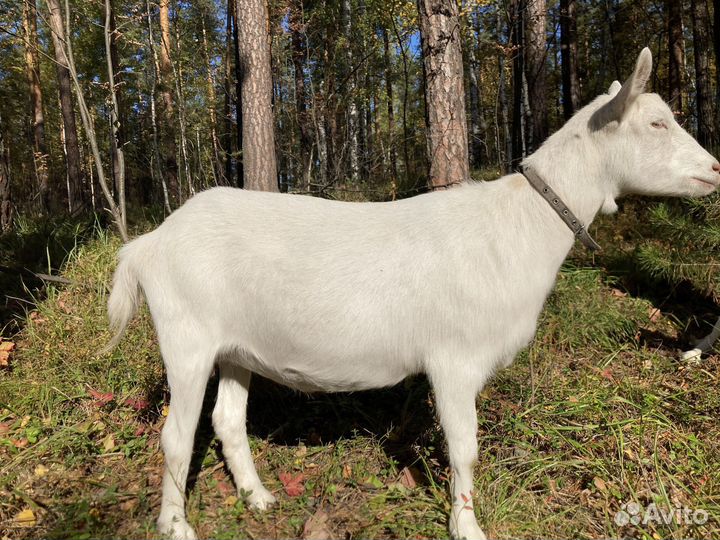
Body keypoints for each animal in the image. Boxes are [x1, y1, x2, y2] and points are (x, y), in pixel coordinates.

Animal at [106, 49, 719, 540]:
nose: (715, 168)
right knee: (175, 436)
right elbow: (465, 447)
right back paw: (176, 525)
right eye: (658, 123)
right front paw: (467, 526)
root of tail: (151, 242)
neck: (520, 225)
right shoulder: (455, 359)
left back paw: (258, 498)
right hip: (186, 337)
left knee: (227, 421)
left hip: (235, 347)